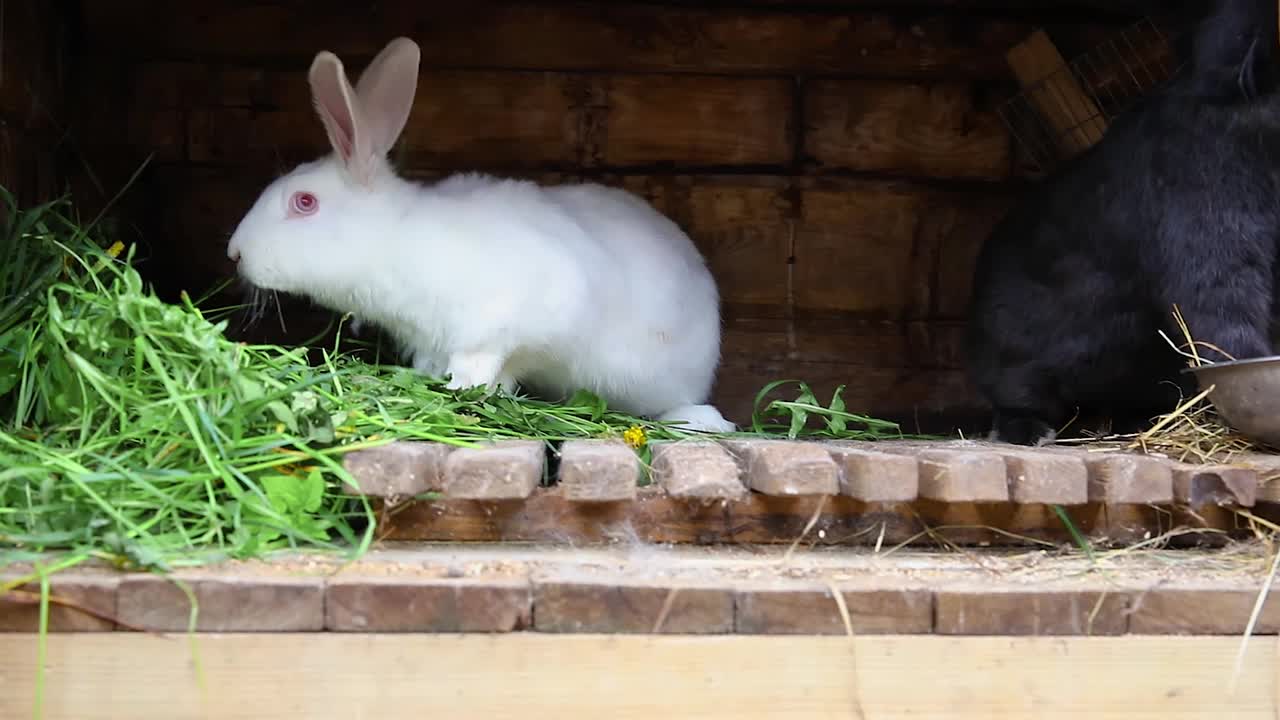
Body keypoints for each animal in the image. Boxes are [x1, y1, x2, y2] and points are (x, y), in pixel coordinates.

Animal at [225, 39, 737, 427]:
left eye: (304, 202)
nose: (235, 253)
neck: (392, 238)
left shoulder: (511, 319)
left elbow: (488, 362)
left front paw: (464, 388)